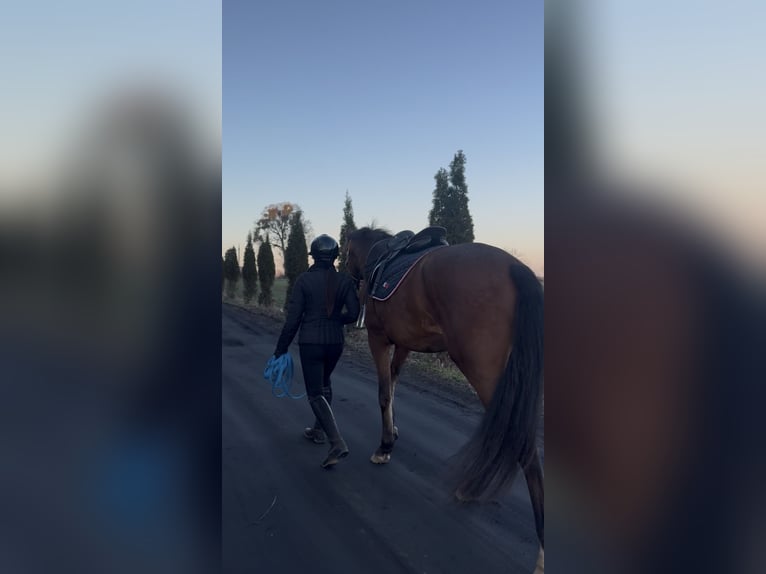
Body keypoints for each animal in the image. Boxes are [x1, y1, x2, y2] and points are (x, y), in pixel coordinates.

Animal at [346, 227, 544, 570]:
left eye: (344, 254)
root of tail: (516, 268)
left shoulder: (378, 338)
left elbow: (384, 392)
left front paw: (384, 447)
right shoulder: (404, 343)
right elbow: (394, 386)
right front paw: (393, 433)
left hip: (483, 371)